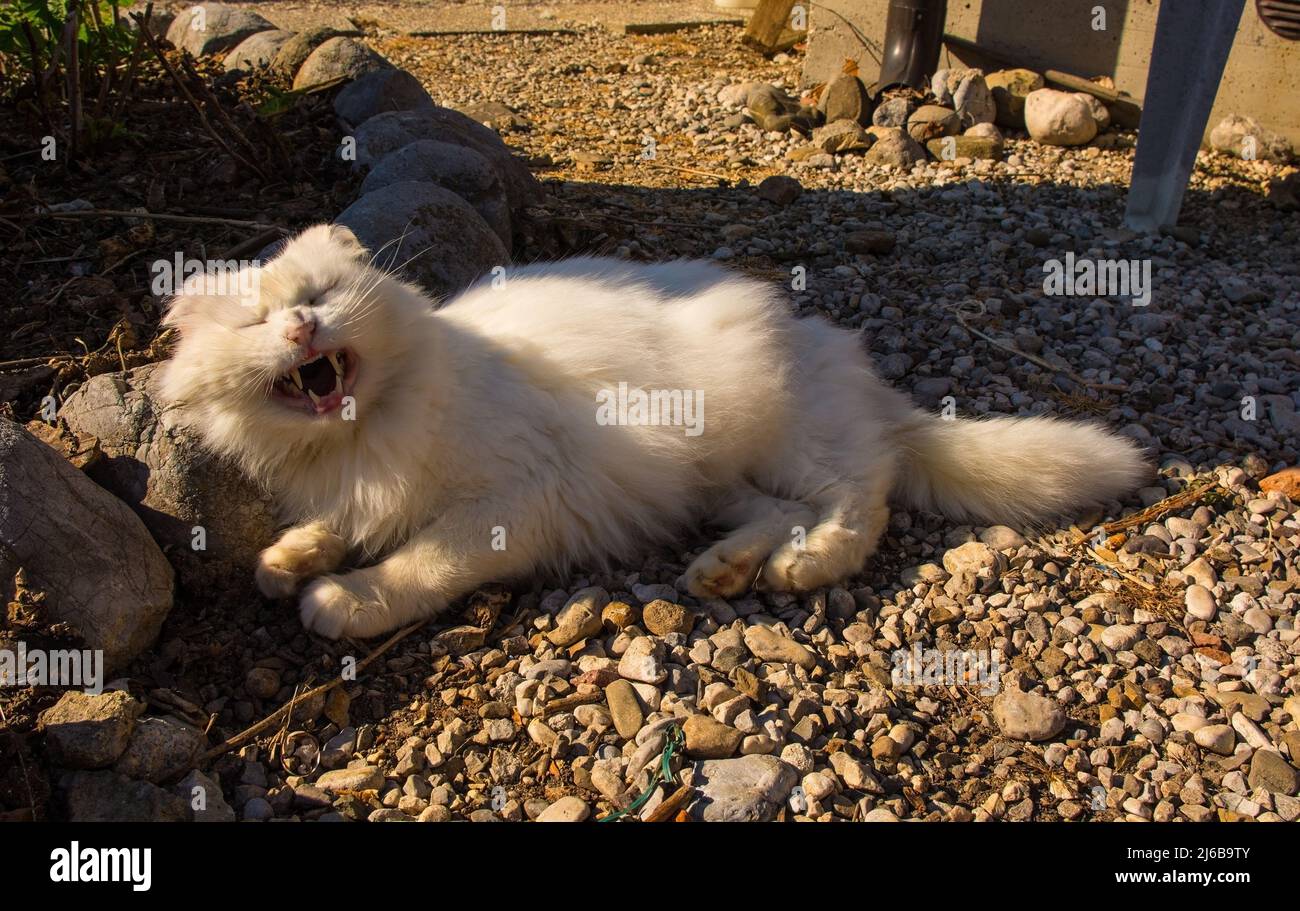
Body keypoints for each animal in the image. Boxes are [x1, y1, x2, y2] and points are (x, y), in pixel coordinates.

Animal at [154, 226, 1149, 639]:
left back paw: (802, 567)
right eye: (256, 323)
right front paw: (288, 557)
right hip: (704, 474)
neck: (362, 438)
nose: (301, 330)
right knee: (779, 511)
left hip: (775, 428)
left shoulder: (519, 496)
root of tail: (834, 348)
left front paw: (347, 600)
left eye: (319, 297)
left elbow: (420, 560)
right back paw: (726, 571)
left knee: (861, 496)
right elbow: (333, 526)